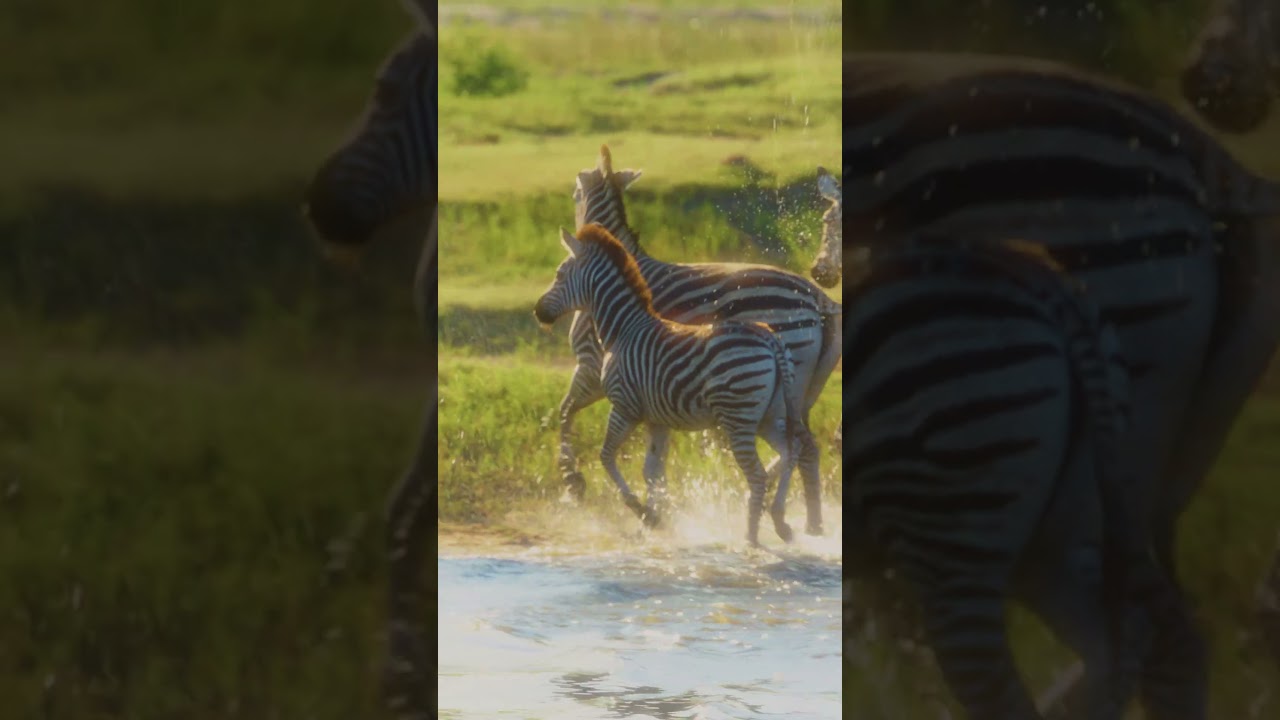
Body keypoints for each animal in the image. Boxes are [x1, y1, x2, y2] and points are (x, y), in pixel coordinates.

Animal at [534, 223, 808, 547]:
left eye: (559, 274)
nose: (537, 311)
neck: (622, 329)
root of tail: (768, 337)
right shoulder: (657, 418)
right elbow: (651, 471)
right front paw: (654, 519)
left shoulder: (624, 407)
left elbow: (607, 456)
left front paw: (640, 510)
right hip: (768, 415)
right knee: (790, 451)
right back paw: (780, 521)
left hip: (738, 418)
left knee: (758, 474)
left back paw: (751, 537)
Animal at [555, 146, 842, 536]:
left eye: (573, 194)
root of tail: (818, 297)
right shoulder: (644, 385)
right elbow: (652, 464)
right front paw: (655, 511)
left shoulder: (591, 365)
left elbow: (564, 412)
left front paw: (573, 481)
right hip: (802, 390)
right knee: (804, 446)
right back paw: (808, 522)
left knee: (799, 446)